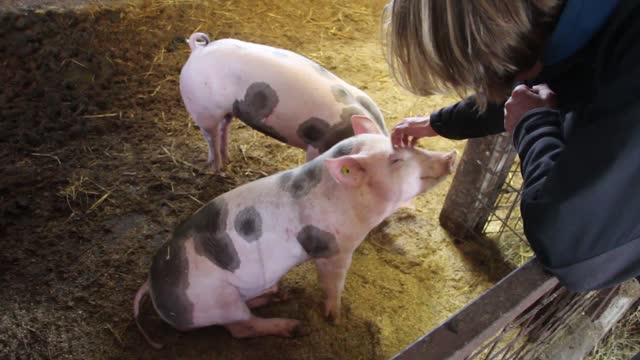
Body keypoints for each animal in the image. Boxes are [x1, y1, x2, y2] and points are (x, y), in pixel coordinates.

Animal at [134, 116, 456, 348]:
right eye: (396, 161)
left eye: (412, 147)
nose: (451, 156)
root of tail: (152, 284)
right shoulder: (333, 248)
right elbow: (333, 283)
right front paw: (335, 318)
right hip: (217, 301)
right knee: (241, 327)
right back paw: (292, 326)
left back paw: (278, 294)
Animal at [178, 32, 388, 172]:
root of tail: (198, 50)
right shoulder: (316, 146)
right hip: (202, 108)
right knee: (210, 137)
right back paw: (216, 168)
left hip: (227, 110)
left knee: (224, 128)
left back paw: (227, 160)